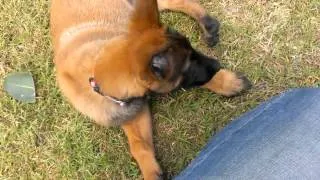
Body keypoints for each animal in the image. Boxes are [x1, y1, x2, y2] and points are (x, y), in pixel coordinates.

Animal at [49, 0, 250, 179]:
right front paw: (151, 171)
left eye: (193, 51)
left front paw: (227, 82)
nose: (217, 65)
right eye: (187, 67)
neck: (95, 70)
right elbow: (139, 145)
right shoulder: (130, 110)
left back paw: (207, 23)